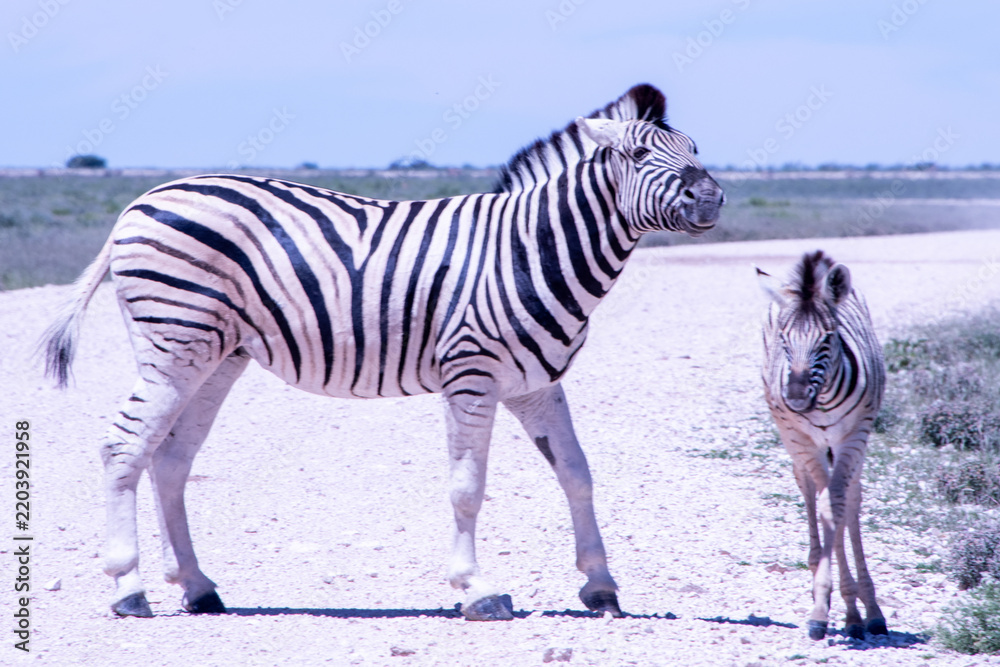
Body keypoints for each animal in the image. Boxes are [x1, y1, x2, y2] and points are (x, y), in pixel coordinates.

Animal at [42, 83, 724, 620]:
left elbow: (578, 474)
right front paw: (476, 590)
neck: (529, 249)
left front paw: (601, 586)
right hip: (174, 342)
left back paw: (198, 587)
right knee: (123, 446)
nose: (712, 198)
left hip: (215, 356)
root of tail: (138, 203)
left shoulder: (536, 383)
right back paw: (128, 589)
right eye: (639, 154)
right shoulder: (471, 375)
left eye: (696, 149)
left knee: (170, 459)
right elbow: (467, 487)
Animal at [758, 250, 888, 640]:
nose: (797, 397)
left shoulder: (855, 433)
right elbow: (825, 503)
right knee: (809, 487)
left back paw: (867, 610)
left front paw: (848, 607)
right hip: (796, 441)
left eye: (828, 338)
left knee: (849, 499)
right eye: (784, 338)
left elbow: (838, 507)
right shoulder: (799, 437)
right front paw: (822, 605)